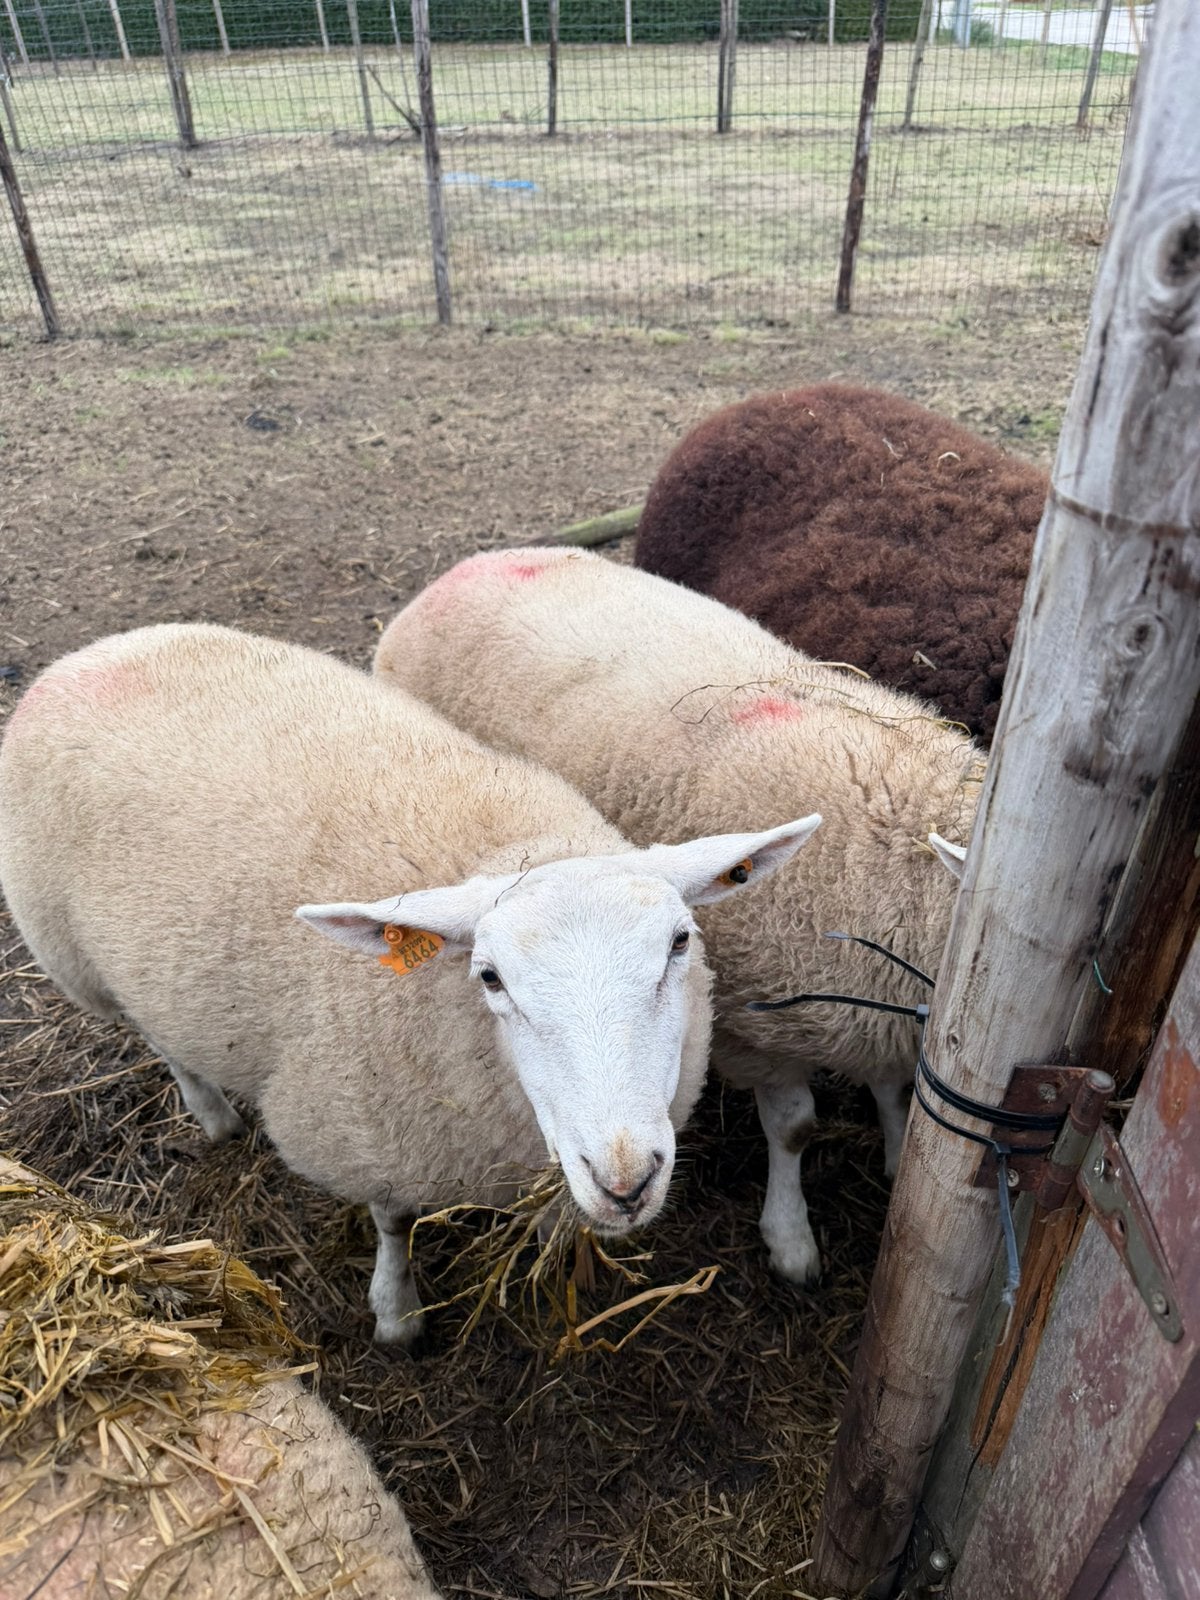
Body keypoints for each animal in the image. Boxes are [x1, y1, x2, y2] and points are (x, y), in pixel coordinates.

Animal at [0, 622, 819, 1342]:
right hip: (80, 961)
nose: (625, 1181)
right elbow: (393, 1224)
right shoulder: (369, 1140)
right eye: (490, 978)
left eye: (680, 942)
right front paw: (396, 1313)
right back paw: (213, 1113)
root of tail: (96, 651)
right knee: (161, 1038)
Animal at [374, 548, 979, 1286]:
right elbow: (794, 1129)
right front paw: (791, 1238)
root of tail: (467, 566)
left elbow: (893, 1090)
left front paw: (897, 1163)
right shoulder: (756, 1030)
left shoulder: (879, 1009)